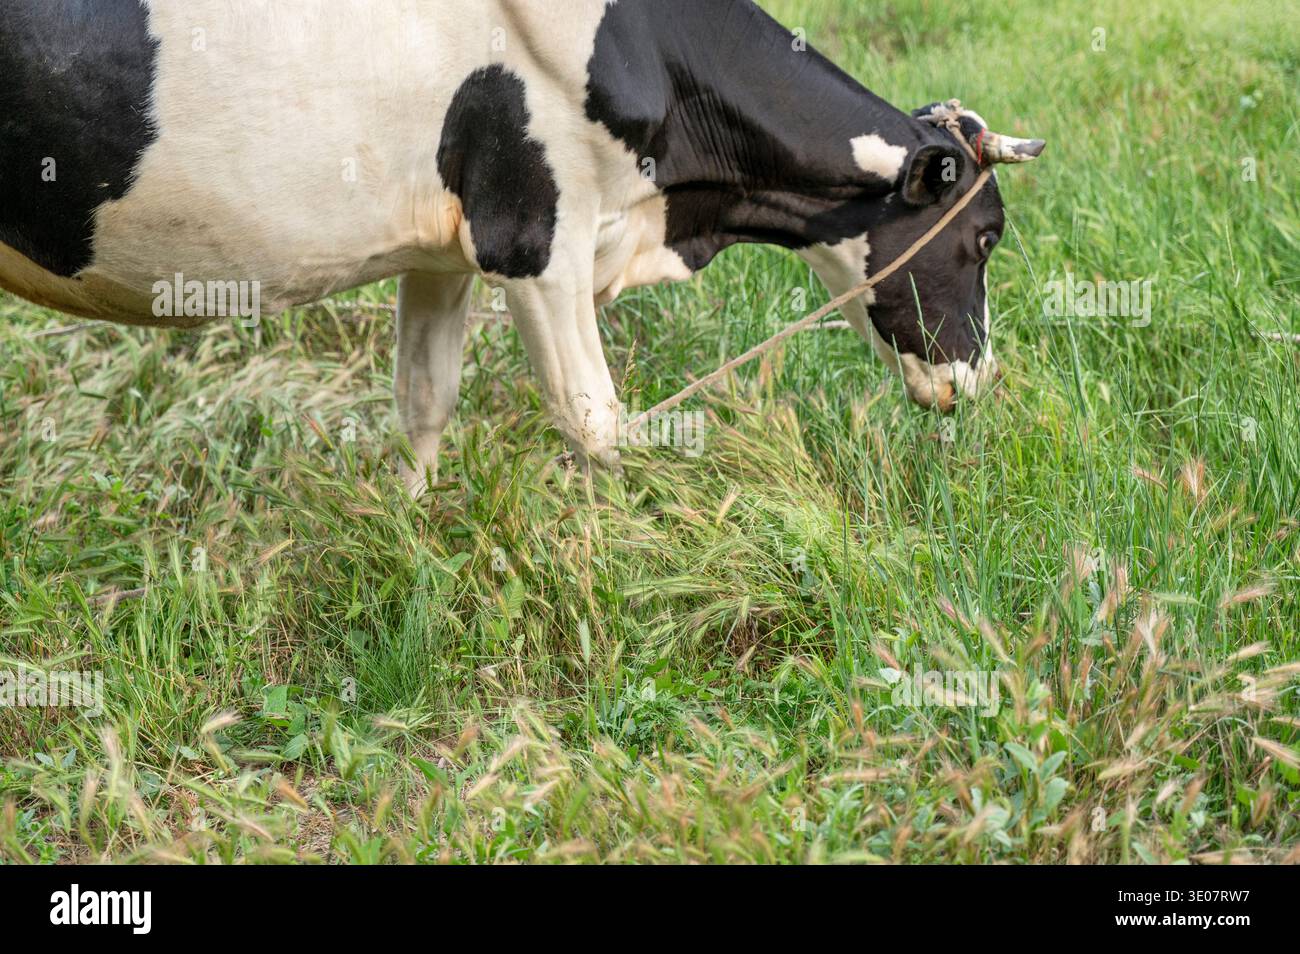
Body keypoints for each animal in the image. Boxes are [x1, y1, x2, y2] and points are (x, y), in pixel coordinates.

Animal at [0, 0, 1044, 494]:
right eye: (985, 237)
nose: (976, 378)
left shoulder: (442, 251)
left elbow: (424, 401)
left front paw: (410, 530)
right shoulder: (536, 237)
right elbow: (597, 420)